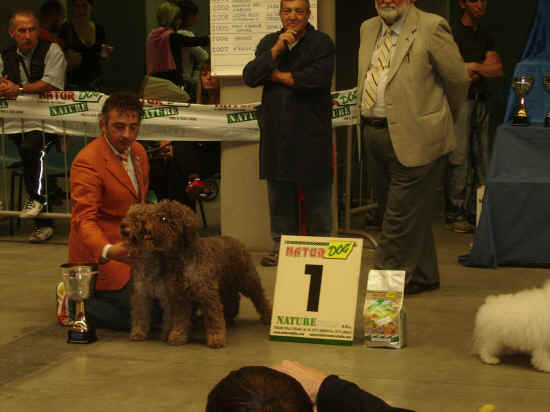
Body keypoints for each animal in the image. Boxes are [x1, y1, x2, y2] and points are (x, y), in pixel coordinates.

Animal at [122, 200, 274, 348]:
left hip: (247, 280)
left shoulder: (208, 295)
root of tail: (237, 240)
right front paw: (177, 336)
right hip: (225, 284)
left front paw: (216, 339)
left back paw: (267, 316)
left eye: (163, 218)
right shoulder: (181, 297)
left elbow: (214, 318)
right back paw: (230, 315)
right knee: (233, 298)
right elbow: (180, 319)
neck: (183, 258)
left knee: (259, 298)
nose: (145, 222)